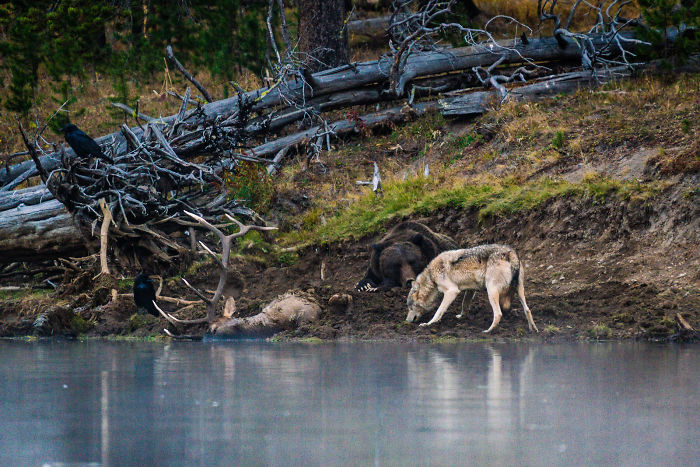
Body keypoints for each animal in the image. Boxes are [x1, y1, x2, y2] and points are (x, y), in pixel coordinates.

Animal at [405, 244, 538, 333]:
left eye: (410, 307)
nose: (407, 321)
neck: (431, 277)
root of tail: (510, 253)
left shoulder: (452, 291)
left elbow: (439, 311)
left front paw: (428, 324)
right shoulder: (470, 289)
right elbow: (464, 304)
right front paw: (461, 316)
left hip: (491, 291)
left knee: (498, 314)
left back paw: (488, 331)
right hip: (519, 290)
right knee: (527, 310)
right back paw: (533, 329)